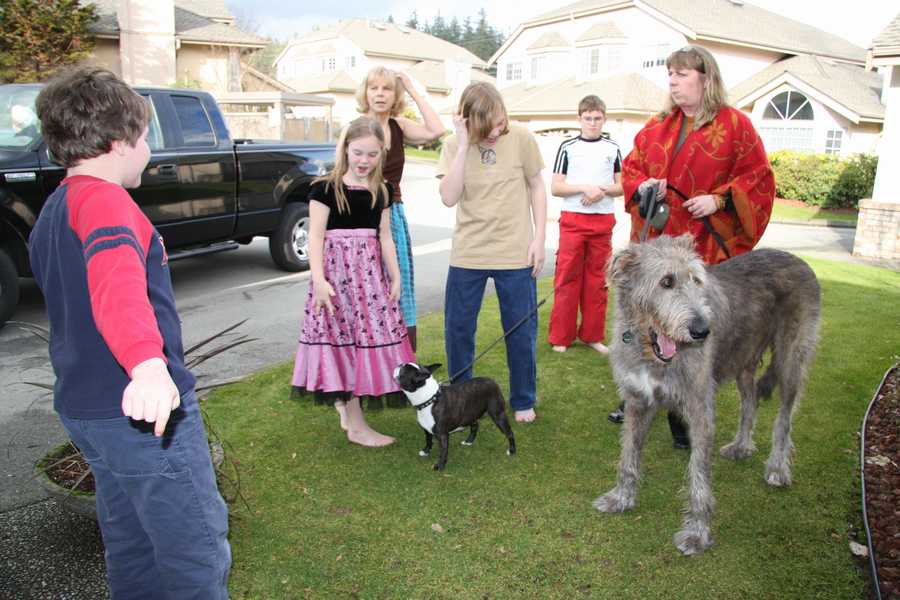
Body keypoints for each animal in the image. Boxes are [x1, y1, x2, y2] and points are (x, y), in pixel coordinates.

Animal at [593, 234, 820, 555]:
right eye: (666, 282)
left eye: (696, 280)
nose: (702, 331)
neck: (652, 354)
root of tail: (799, 260)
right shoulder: (637, 402)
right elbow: (629, 455)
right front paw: (621, 497)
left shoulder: (699, 409)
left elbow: (698, 473)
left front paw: (698, 533)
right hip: (743, 359)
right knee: (749, 402)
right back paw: (741, 446)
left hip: (791, 358)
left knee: (784, 418)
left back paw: (777, 467)